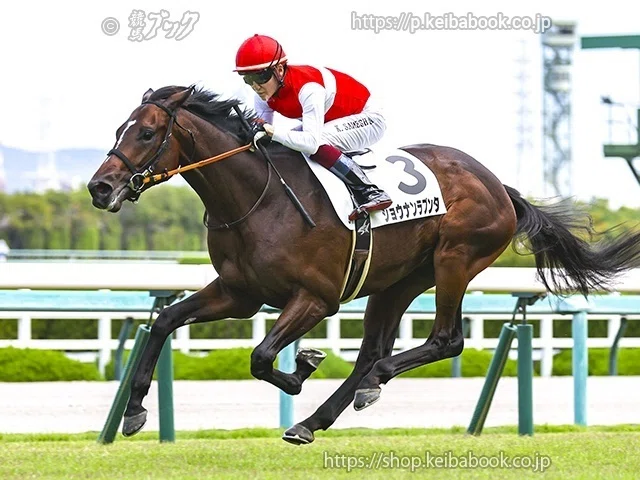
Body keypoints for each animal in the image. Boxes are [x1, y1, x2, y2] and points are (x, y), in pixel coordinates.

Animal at [88, 85, 640, 445]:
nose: (100, 187)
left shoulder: (316, 299)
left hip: (454, 259)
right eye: (118, 129)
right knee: (371, 352)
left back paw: (371, 383)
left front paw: (302, 368)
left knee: (442, 341)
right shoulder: (239, 294)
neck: (257, 199)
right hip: (397, 281)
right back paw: (312, 421)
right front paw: (134, 411)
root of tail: (499, 185)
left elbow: (261, 357)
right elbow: (165, 321)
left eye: (147, 133)